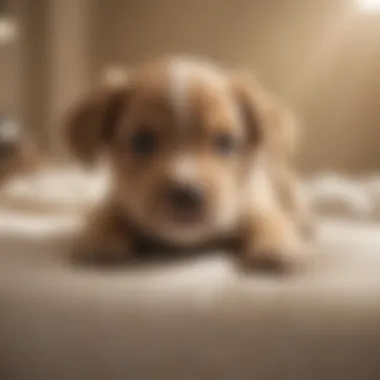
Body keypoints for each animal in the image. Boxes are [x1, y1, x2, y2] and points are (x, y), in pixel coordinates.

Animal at [63, 56, 312, 272]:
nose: (186, 194)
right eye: (141, 141)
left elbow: (269, 220)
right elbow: (106, 213)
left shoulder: (255, 202)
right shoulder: (119, 199)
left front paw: (276, 246)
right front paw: (98, 238)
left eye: (226, 142)